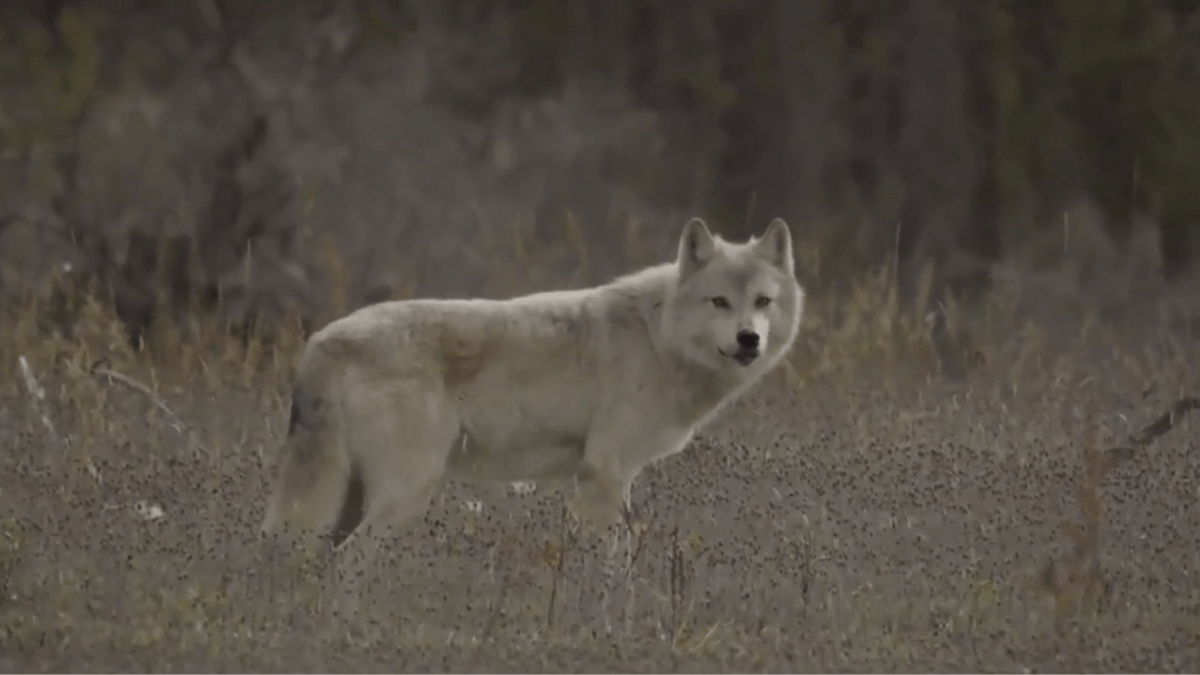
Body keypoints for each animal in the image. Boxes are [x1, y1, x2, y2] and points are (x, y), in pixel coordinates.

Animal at [260, 216, 805, 616]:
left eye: (763, 302)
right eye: (720, 302)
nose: (749, 339)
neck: (657, 338)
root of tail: (321, 343)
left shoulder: (603, 480)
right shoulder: (605, 474)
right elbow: (616, 567)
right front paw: (612, 623)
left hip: (353, 500)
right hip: (403, 495)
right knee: (345, 566)